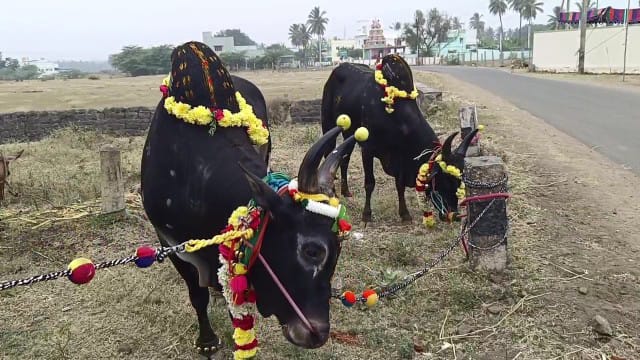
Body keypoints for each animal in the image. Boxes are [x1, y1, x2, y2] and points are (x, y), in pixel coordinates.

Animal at [142, 43, 368, 360]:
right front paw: (207, 340)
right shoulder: (170, 242)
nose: (318, 333)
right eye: (312, 251)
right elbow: (197, 295)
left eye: (339, 249)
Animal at [320, 53, 476, 224]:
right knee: (329, 154)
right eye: (445, 180)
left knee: (345, 158)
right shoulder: (367, 149)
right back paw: (333, 192)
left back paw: (345, 191)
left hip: (349, 134)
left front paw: (404, 214)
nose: (454, 215)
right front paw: (367, 214)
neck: (397, 116)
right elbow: (370, 183)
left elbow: (399, 185)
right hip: (328, 124)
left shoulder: (400, 155)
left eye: (459, 182)